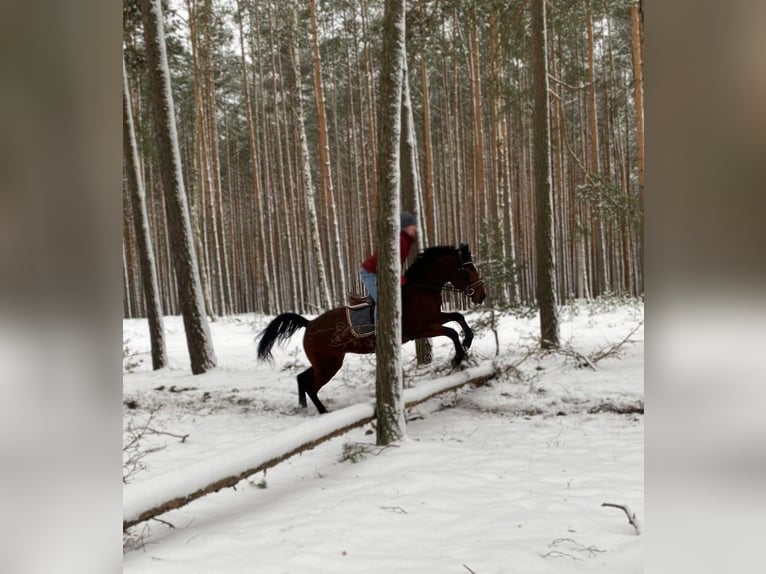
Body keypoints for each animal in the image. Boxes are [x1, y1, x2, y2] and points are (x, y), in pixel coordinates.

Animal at [256, 245, 486, 416]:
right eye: (467, 271)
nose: (481, 296)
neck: (421, 291)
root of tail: (309, 324)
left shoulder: (434, 317)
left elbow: (458, 317)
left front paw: (467, 341)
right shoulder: (421, 329)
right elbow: (451, 331)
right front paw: (458, 357)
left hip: (325, 363)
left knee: (302, 378)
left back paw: (304, 406)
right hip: (329, 364)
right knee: (311, 385)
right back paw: (323, 412)